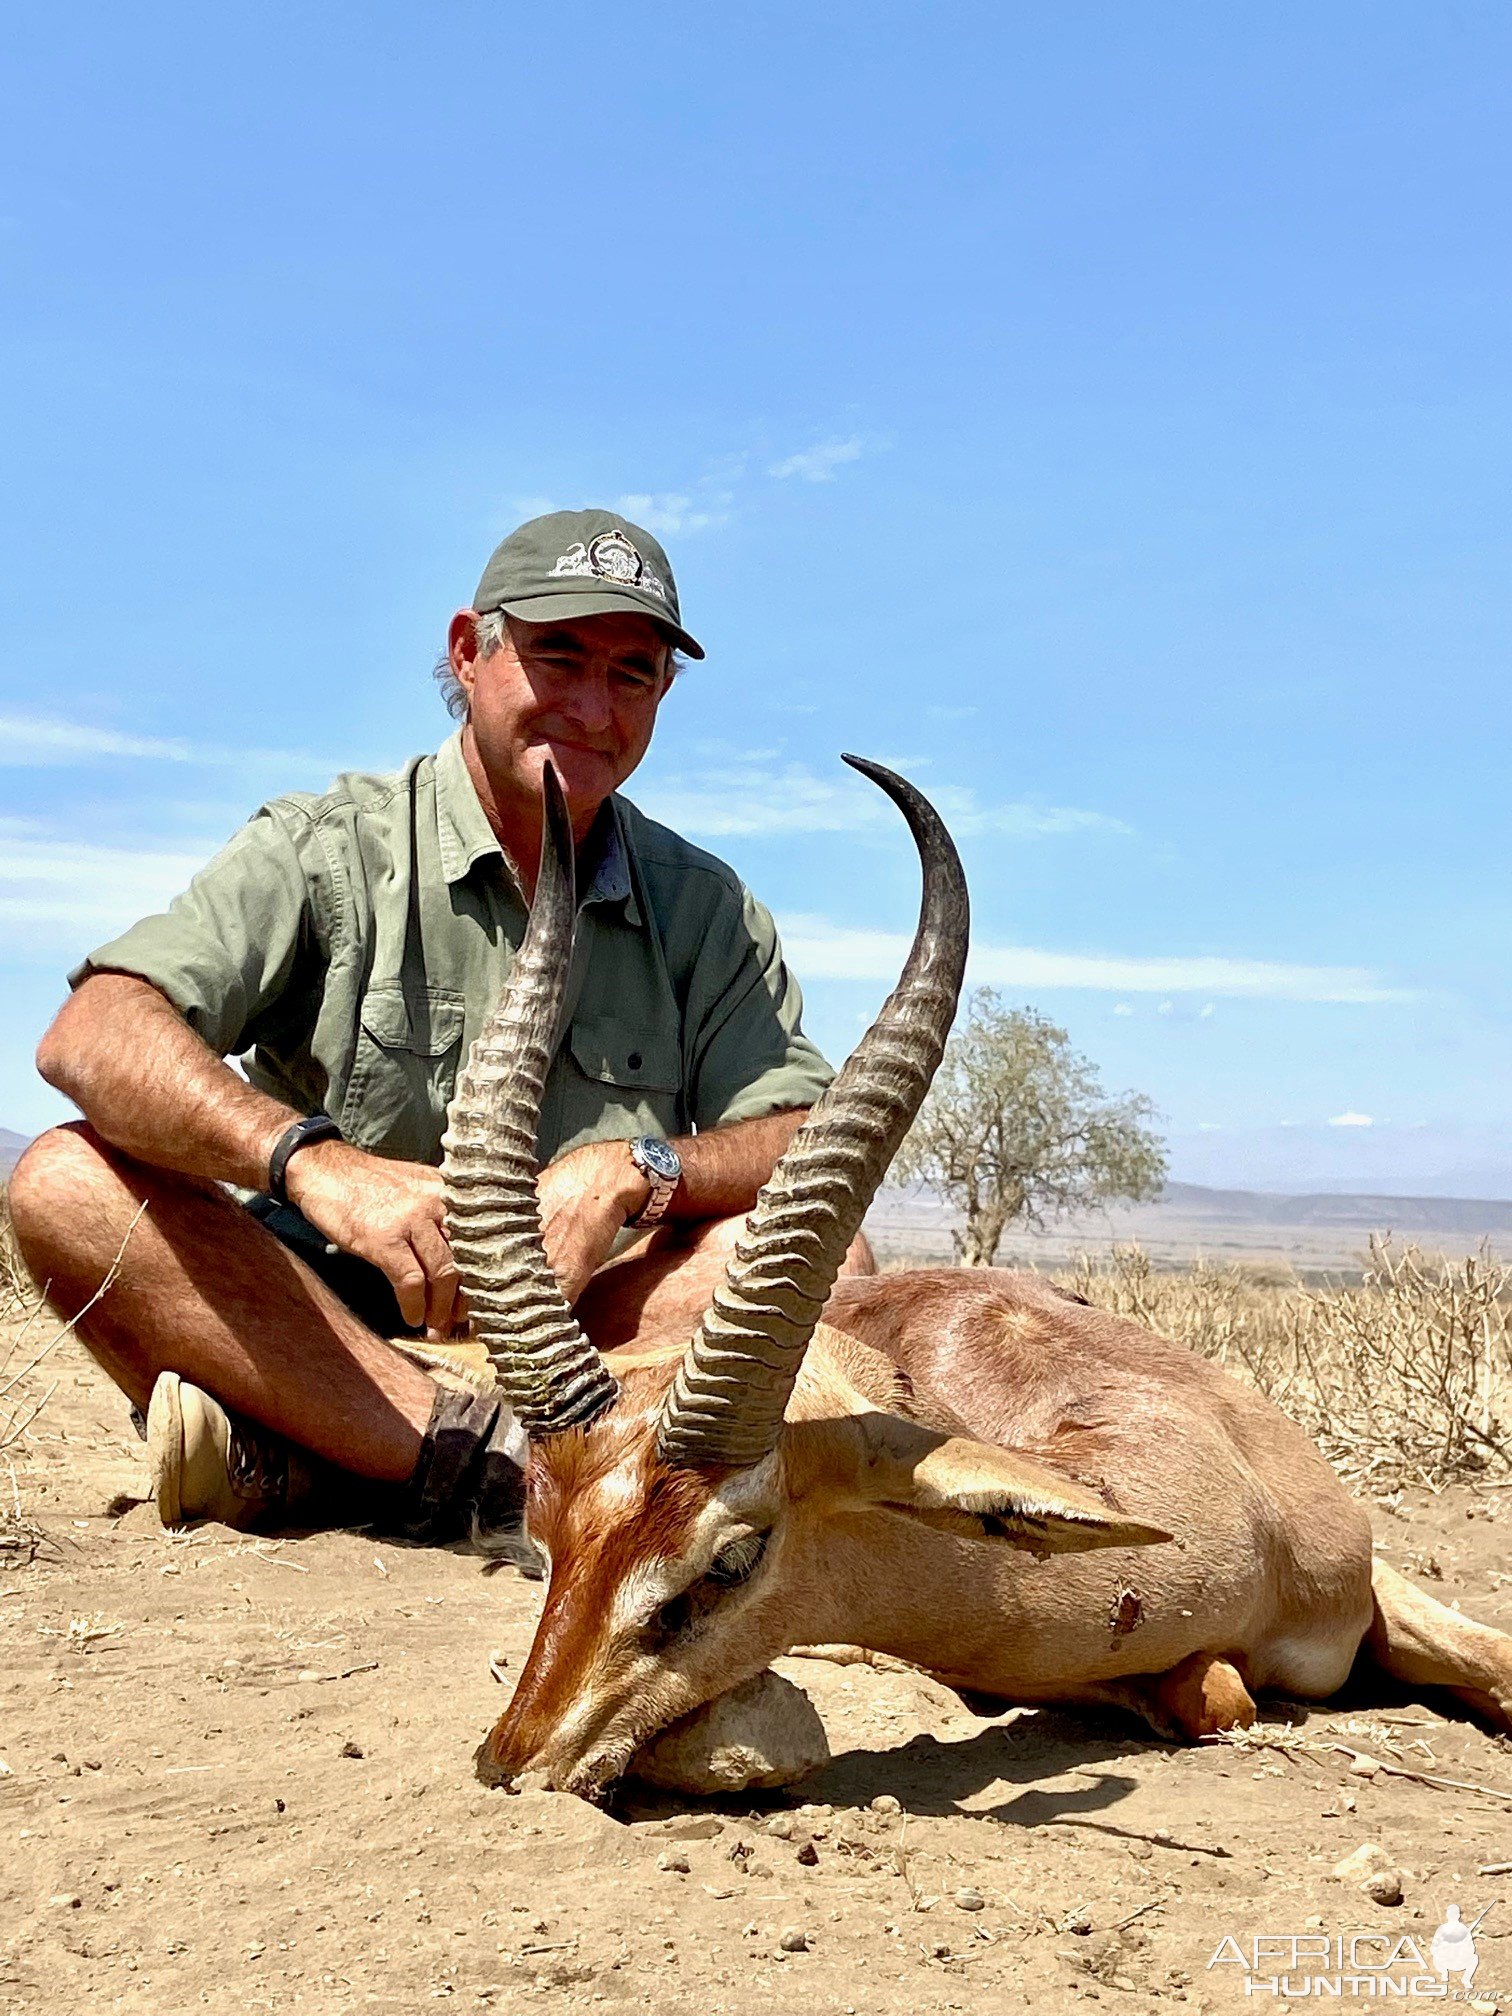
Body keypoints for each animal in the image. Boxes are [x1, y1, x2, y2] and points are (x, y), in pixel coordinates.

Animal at [441, 762, 1512, 1806]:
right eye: (542, 1527)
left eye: (733, 1558)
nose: (513, 1764)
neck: (1232, 1506)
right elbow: (1210, 1691)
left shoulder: (1375, 1576)